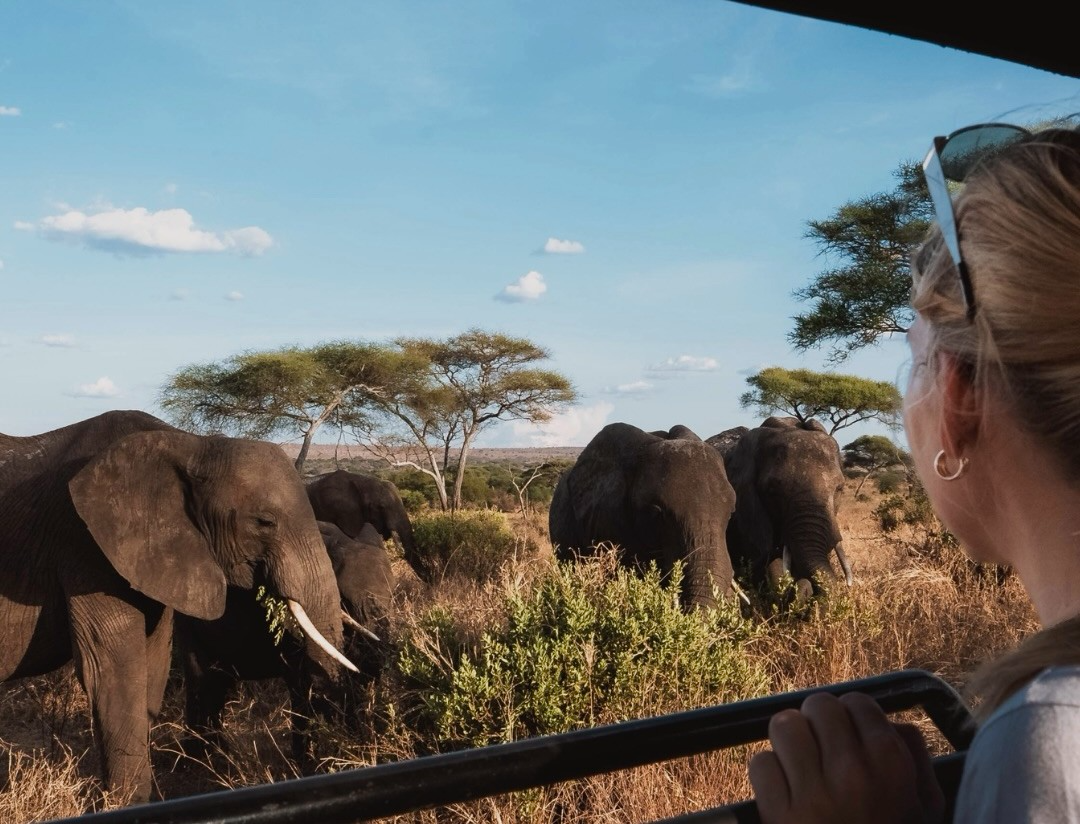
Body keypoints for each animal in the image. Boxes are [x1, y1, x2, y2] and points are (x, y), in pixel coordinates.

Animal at [0, 410, 357, 803]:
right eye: (265, 522)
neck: (191, 446)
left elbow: (152, 671)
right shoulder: (86, 548)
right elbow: (111, 675)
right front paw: (128, 805)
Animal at [176, 519, 394, 764]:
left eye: (392, 594)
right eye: (344, 600)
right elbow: (303, 678)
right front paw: (313, 762)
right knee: (202, 682)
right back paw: (201, 762)